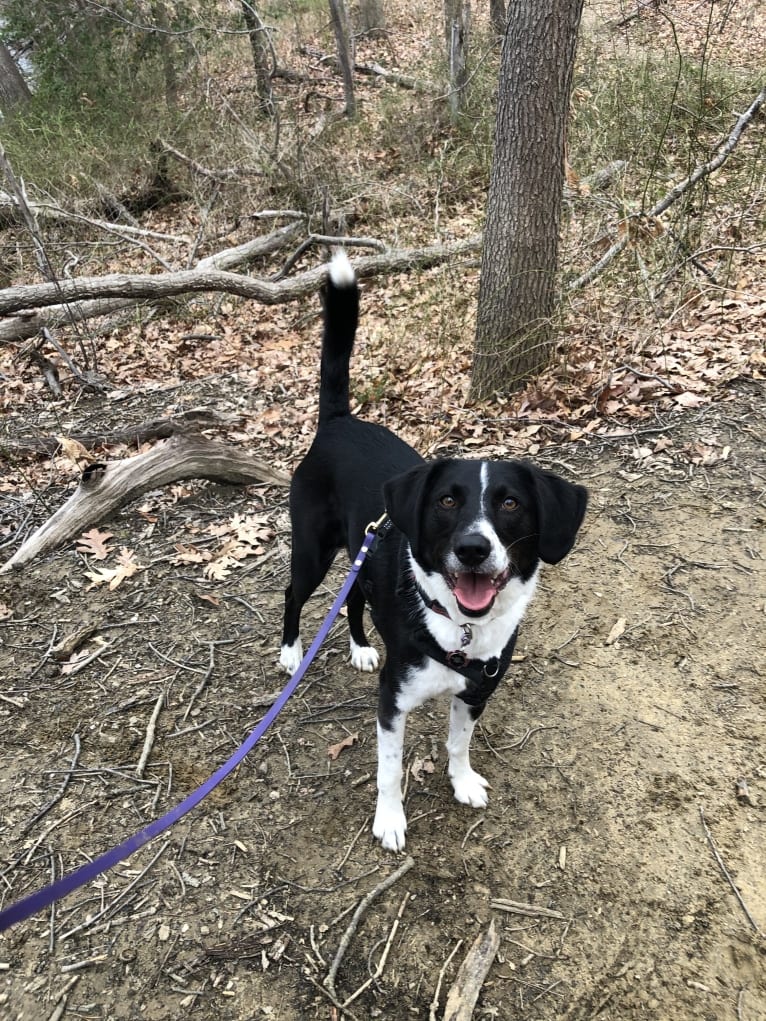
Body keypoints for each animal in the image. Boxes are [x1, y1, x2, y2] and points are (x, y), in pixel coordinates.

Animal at [281, 251, 588, 849]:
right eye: (447, 500)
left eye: (511, 504)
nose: (472, 549)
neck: (460, 631)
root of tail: (338, 422)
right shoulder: (392, 702)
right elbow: (389, 768)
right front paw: (390, 820)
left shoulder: (475, 693)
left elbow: (457, 743)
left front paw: (462, 781)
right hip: (312, 551)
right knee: (292, 594)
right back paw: (288, 652)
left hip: (362, 550)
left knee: (356, 600)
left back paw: (361, 647)